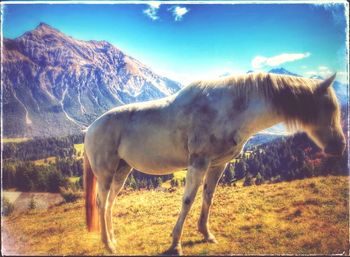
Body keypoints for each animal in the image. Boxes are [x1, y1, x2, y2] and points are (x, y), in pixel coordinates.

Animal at [84, 72, 344, 254]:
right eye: (327, 107)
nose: (340, 146)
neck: (230, 108)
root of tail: (90, 128)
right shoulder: (198, 162)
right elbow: (188, 199)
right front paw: (175, 244)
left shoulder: (218, 165)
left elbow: (209, 197)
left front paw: (206, 234)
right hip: (106, 173)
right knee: (101, 202)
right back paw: (108, 245)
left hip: (122, 171)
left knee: (110, 203)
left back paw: (113, 240)